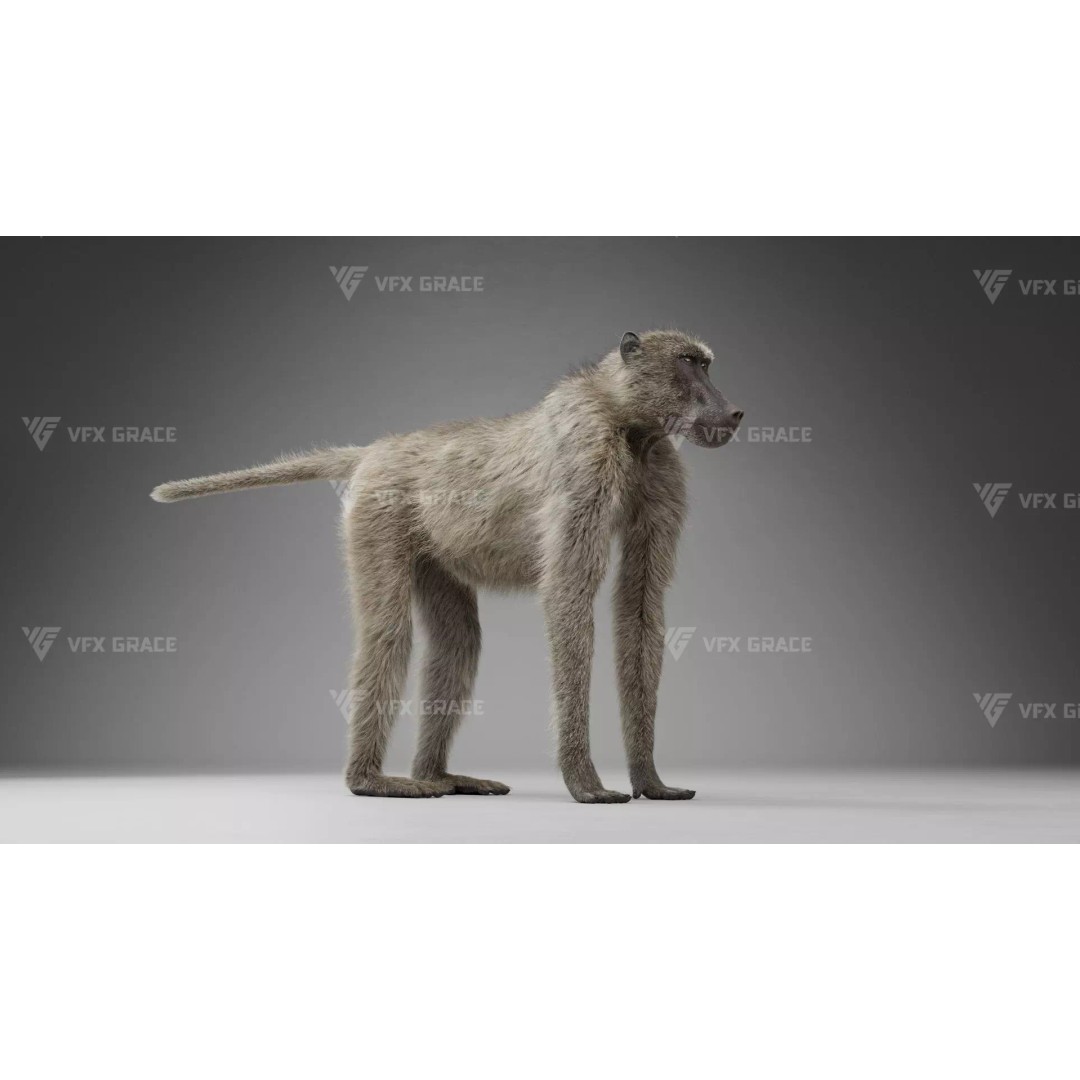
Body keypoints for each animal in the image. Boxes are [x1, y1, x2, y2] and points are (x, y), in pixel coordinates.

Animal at [151, 330, 743, 803]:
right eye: (690, 363)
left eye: (706, 363)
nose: (733, 411)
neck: (625, 420)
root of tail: (375, 450)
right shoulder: (586, 461)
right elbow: (568, 598)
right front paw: (585, 782)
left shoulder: (661, 471)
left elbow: (639, 605)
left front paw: (650, 780)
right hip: (377, 514)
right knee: (388, 633)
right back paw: (371, 781)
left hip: (433, 550)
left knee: (458, 641)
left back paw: (439, 776)